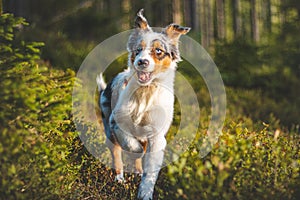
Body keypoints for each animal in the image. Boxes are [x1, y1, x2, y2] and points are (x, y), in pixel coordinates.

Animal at [96, 8, 190, 199]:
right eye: (138, 50)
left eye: (158, 51)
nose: (141, 62)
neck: (146, 92)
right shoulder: (116, 122)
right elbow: (131, 145)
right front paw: (136, 152)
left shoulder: (157, 136)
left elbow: (150, 170)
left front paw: (144, 193)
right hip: (108, 129)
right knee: (116, 153)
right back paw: (120, 179)